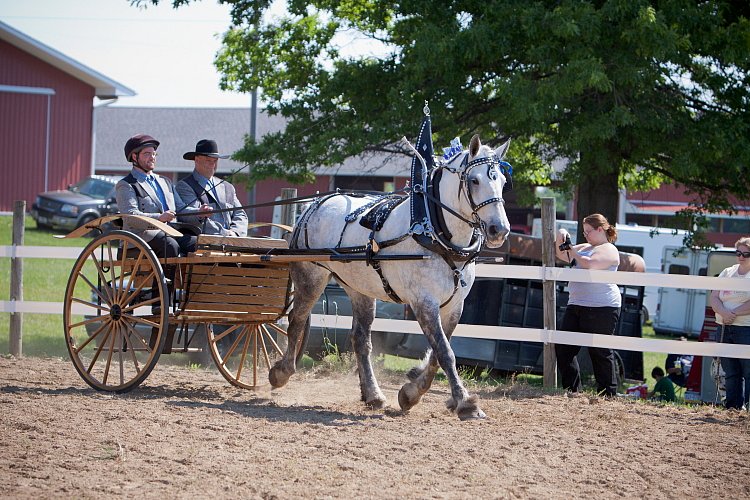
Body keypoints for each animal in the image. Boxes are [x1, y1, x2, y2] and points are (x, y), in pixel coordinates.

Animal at [270, 135, 512, 420]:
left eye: (503, 182)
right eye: (474, 180)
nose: (499, 230)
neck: (434, 232)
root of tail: (313, 206)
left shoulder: (454, 306)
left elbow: (437, 354)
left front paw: (411, 393)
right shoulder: (423, 302)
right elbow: (445, 352)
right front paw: (465, 403)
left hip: (359, 288)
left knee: (360, 340)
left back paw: (373, 394)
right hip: (311, 277)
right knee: (296, 322)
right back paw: (281, 372)